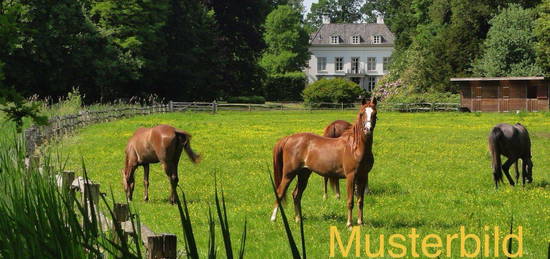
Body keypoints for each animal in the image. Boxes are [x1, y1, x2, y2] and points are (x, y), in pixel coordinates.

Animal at [272, 98, 380, 228]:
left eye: (375, 114)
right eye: (361, 113)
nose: (368, 130)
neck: (355, 148)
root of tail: (288, 139)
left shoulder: (362, 176)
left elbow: (360, 200)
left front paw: (361, 223)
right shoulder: (351, 176)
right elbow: (350, 201)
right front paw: (349, 224)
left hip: (304, 174)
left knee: (296, 195)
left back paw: (298, 219)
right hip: (289, 174)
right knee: (280, 192)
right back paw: (273, 219)